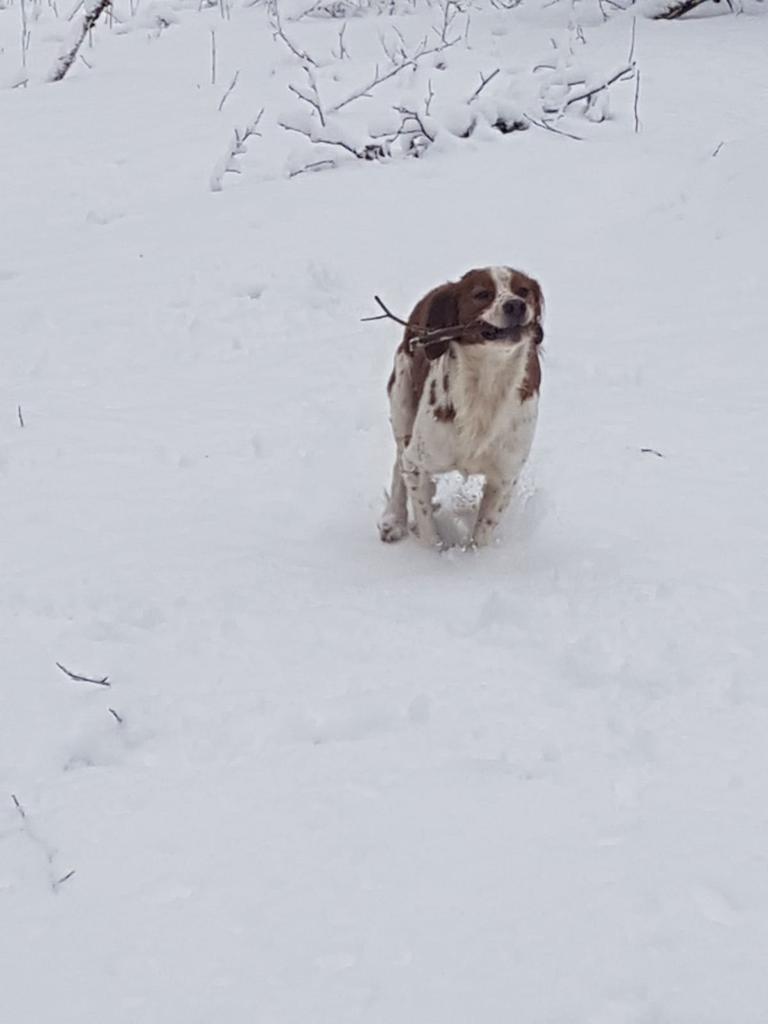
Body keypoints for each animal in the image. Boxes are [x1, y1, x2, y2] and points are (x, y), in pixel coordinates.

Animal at [379, 266, 544, 549]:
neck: (487, 381)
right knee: (399, 461)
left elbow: (483, 533)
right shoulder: (418, 463)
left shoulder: (505, 475)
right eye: (482, 294)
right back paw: (394, 520)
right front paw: (433, 552)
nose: (516, 305)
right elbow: (428, 529)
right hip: (401, 400)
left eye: (524, 291)